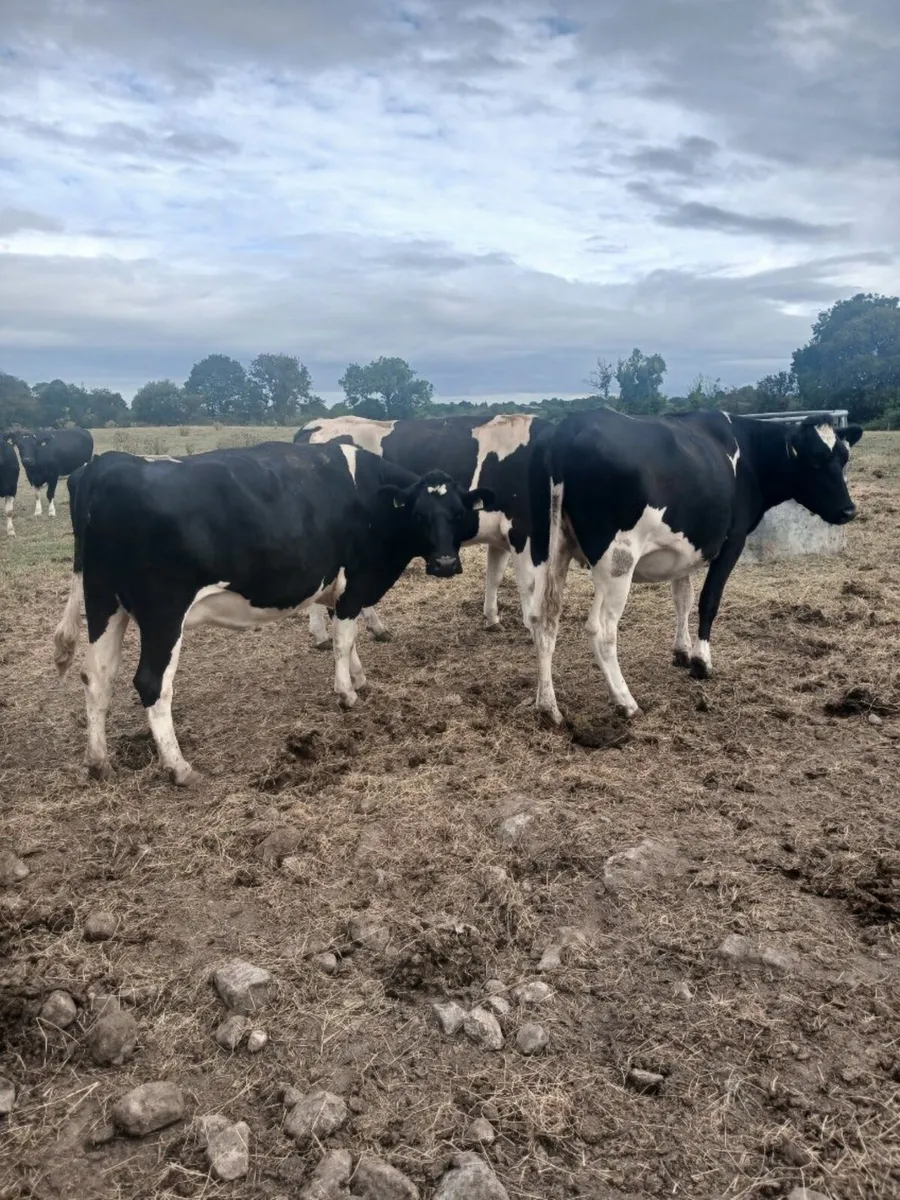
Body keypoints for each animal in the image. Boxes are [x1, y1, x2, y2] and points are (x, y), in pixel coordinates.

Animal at [52, 440, 493, 786]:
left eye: (457, 513)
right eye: (419, 515)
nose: (445, 564)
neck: (374, 500)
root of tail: (106, 465)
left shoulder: (342, 591)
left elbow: (347, 639)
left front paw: (361, 679)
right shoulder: (355, 582)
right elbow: (343, 640)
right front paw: (347, 693)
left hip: (105, 603)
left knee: (97, 677)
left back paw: (99, 763)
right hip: (163, 613)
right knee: (151, 684)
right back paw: (179, 768)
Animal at [294, 413, 550, 646]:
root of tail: (315, 425)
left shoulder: (501, 536)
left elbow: (494, 577)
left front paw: (493, 620)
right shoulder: (521, 530)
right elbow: (527, 583)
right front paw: (532, 629)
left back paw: (374, 629)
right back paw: (323, 636)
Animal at [527, 409, 863, 725]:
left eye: (844, 458)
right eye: (815, 461)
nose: (849, 510)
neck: (748, 453)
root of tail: (569, 427)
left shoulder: (685, 551)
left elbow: (683, 599)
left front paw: (682, 651)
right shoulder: (733, 542)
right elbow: (708, 600)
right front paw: (702, 661)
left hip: (548, 551)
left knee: (543, 619)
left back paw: (548, 707)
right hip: (617, 561)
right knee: (602, 629)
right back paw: (626, 701)